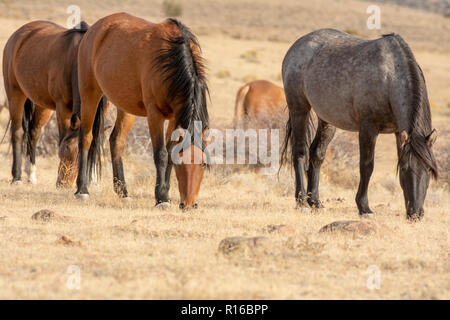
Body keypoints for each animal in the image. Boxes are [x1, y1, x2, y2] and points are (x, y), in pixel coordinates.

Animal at [2, 20, 105, 188]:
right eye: (66, 149)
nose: (64, 183)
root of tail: (18, 34)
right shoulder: (63, 109)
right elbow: (63, 137)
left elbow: (94, 141)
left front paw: (92, 180)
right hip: (15, 94)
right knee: (17, 133)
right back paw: (17, 177)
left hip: (42, 105)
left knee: (34, 132)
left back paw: (31, 175)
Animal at [74, 12, 209, 209]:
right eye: (181, 164)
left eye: (203, 164)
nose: (189, 204)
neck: (172, 55)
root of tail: (94, 29)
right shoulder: (155, 115)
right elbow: (161, 154)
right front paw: (161, 198)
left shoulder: (174, 116)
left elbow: (169, 151)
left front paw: (164, 194)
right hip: (90, 94)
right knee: (86, 137)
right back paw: (82, 190)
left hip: (125, 106)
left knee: (116, 141)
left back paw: (123, 192)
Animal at [284, 29, 438, 220]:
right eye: (404, 169)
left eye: (429, 169)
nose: (416, 213)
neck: (389, 77)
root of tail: (298, 44)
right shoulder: (368, 129)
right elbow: (367, 166)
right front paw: (364, 207)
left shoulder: (398, 132)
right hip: (299, 109)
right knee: (300, 152)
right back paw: (301, 201)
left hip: (327, 119)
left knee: (316, 154)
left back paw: (315, 202)